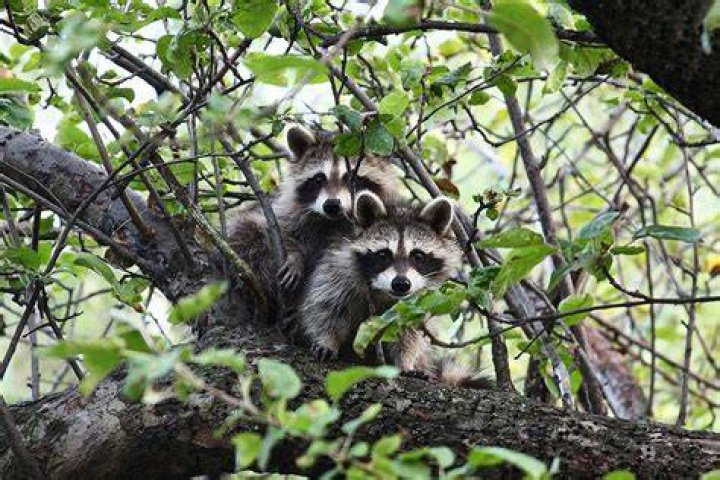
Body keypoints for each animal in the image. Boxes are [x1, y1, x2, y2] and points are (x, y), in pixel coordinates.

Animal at [298, 191, 463, 363]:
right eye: (383, 254)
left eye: (418, 256)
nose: (401, 283)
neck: (383, 293)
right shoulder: (339, 267)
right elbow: (326, 306)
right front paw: (327, 339)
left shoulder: (422, 300)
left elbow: (411, 330)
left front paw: (404, 360)